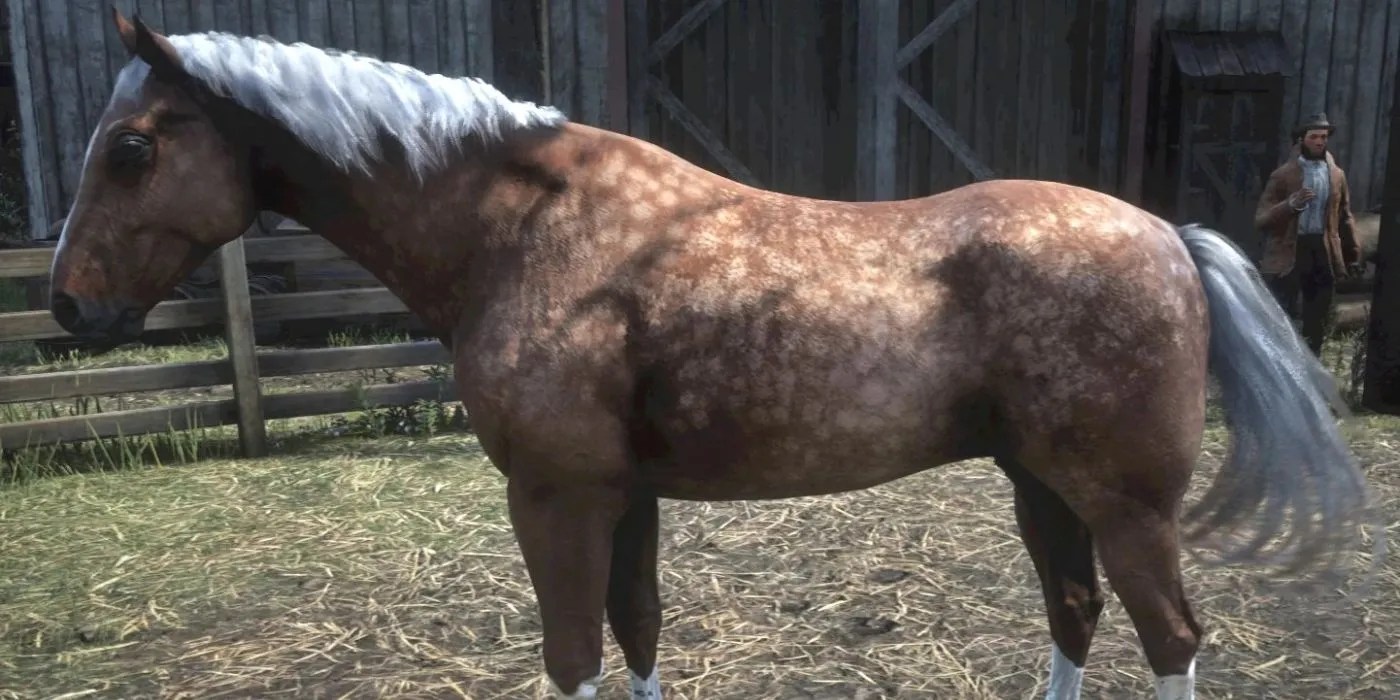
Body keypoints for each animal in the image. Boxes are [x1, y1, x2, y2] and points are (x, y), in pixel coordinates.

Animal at [48, 10, 1376, 699]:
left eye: (130, 147)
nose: (66, 308)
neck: (525, 232)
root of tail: (1164, 231)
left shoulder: (557, 499)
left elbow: (576, 653)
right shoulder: (622, 497)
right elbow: (636, 632)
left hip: (1119, 500)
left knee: (1169, 638)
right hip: (1039, 484)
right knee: (1073, 609)